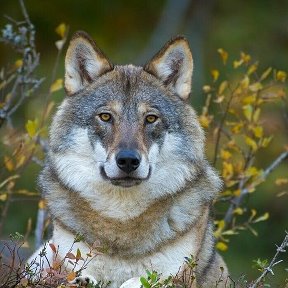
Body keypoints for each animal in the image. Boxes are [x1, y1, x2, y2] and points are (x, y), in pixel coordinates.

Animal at [28, 31, 230, 286]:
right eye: (105, 116)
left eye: (151, 118)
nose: (127, 161)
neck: (121, 219)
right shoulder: (64, 264)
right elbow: (78, 273)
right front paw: (84, 280)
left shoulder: (179, 276)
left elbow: (137, 280)